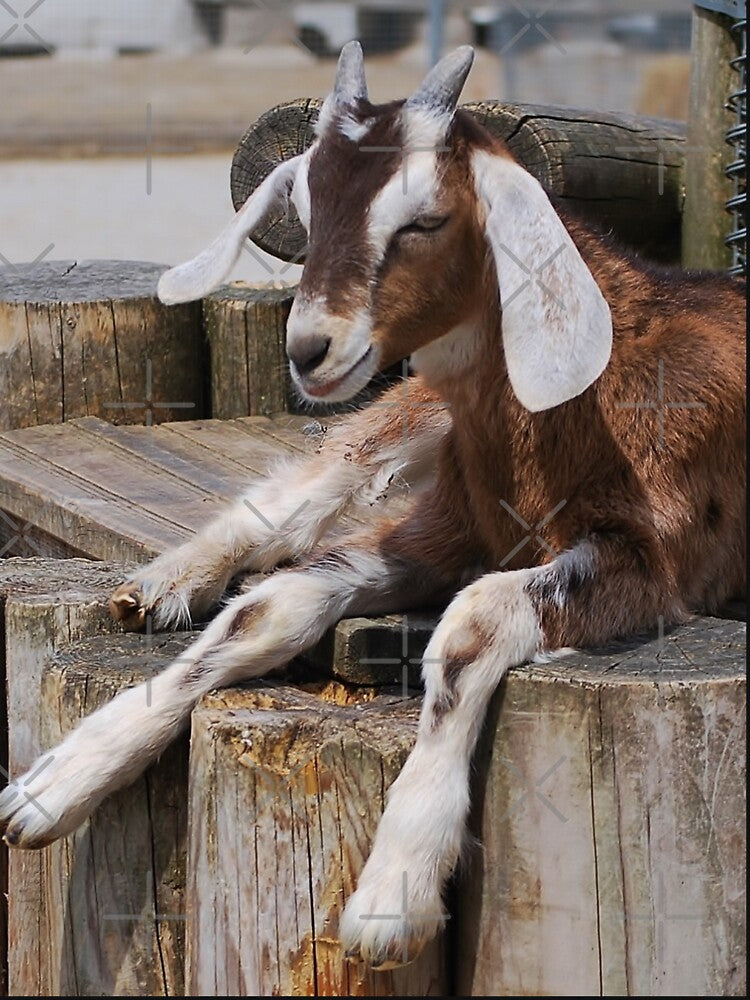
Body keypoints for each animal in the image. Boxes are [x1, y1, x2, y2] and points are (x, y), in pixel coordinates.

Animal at [0, 43, 744, 970]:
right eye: (307, 210)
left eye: (425, 219)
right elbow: (272, 605)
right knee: (312, 484)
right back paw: (163, 584)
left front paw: (394, 891)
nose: (310, 347)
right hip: (410, 411)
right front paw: (51, 787)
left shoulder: (656, 561)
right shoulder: (444, 527)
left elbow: (469, 625)